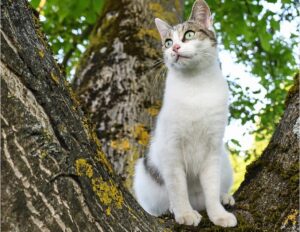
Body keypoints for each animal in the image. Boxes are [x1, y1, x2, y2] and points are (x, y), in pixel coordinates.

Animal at [133, 0, 237, 227]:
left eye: (189, 35)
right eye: (168, 42)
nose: (175, 48)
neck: (196, 86)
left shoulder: (212, 149)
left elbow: (211, 188)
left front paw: (219, 215)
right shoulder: (171, 149)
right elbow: (178, 187)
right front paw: (185, 213)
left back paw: (225, 197)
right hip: (142, 174)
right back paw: (173, 208)